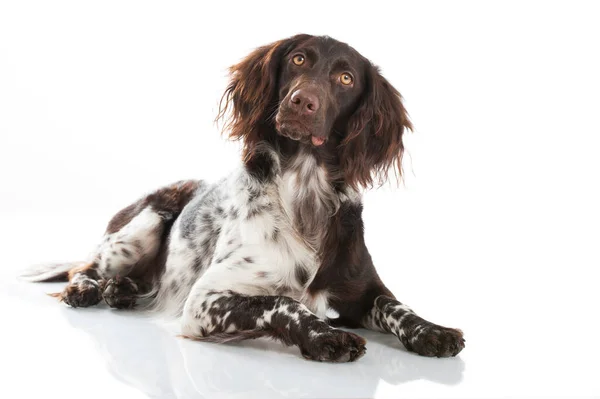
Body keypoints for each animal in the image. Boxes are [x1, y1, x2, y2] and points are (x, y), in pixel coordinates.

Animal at [22, 36, 464, 364]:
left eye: (345, 78)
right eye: (299, 59)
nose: (302, 102)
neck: (304, 199)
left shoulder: (364, 290)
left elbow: (397, 306)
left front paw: (433, 330)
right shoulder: (204, 301)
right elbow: (284, 302)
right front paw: (326, 336)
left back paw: (122, 290)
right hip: (142, 226)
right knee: (85, 265)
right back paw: (88, 289)